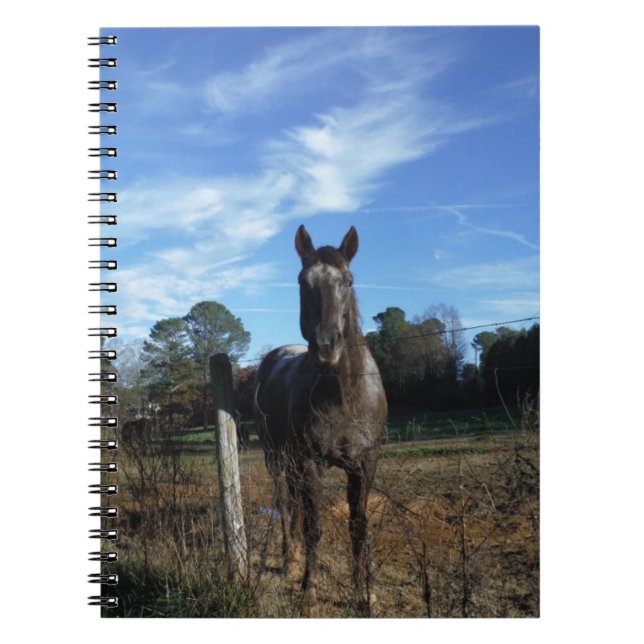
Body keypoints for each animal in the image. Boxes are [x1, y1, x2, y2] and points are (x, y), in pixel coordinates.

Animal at [255, 225, 387, 616]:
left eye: (348, 280)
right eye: (303, 281)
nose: (327, 345)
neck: (344, 395)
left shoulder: (365, 463)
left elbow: (359, 524)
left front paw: (364, 591)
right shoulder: (311, 462)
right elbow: (314, 526)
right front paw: (309, 589)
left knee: (296, 503)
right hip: (277, 458)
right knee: (286, 502)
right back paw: (290, 560)